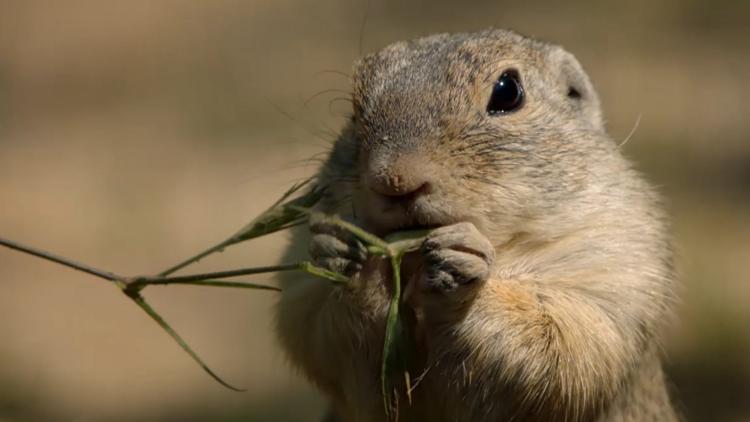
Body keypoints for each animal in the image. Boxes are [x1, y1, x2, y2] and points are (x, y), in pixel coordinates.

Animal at [276, 28, 680, 420]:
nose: (394, 180)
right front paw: (343, 252)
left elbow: (569, 341)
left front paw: (461, 264)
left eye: (508, 91)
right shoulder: (300, 284)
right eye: (354, 109)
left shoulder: (614, 256)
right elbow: (320, 335)